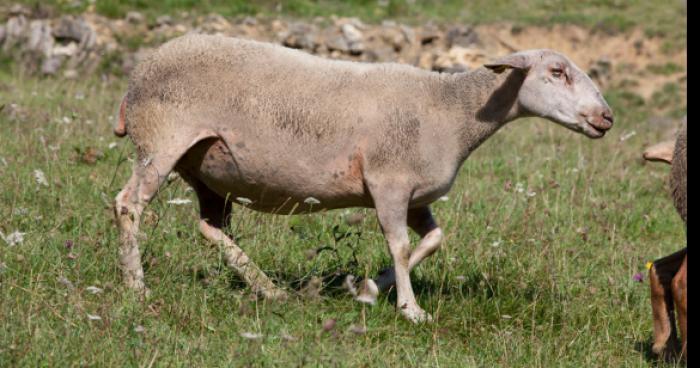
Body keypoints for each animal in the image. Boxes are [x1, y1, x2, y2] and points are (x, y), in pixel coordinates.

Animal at [115, 34, 612, 322]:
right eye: (557, 72)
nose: (606, 117)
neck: (451, 112)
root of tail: (140, 70)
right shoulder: (388, 183)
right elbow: (401, 246)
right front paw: (411, 310)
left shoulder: (415, 195)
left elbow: (433, 240)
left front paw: (367, 288)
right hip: (162, 141)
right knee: (129, 205)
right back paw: (136, 287)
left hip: (208, 170)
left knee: (210, 228)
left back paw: (269, 290)